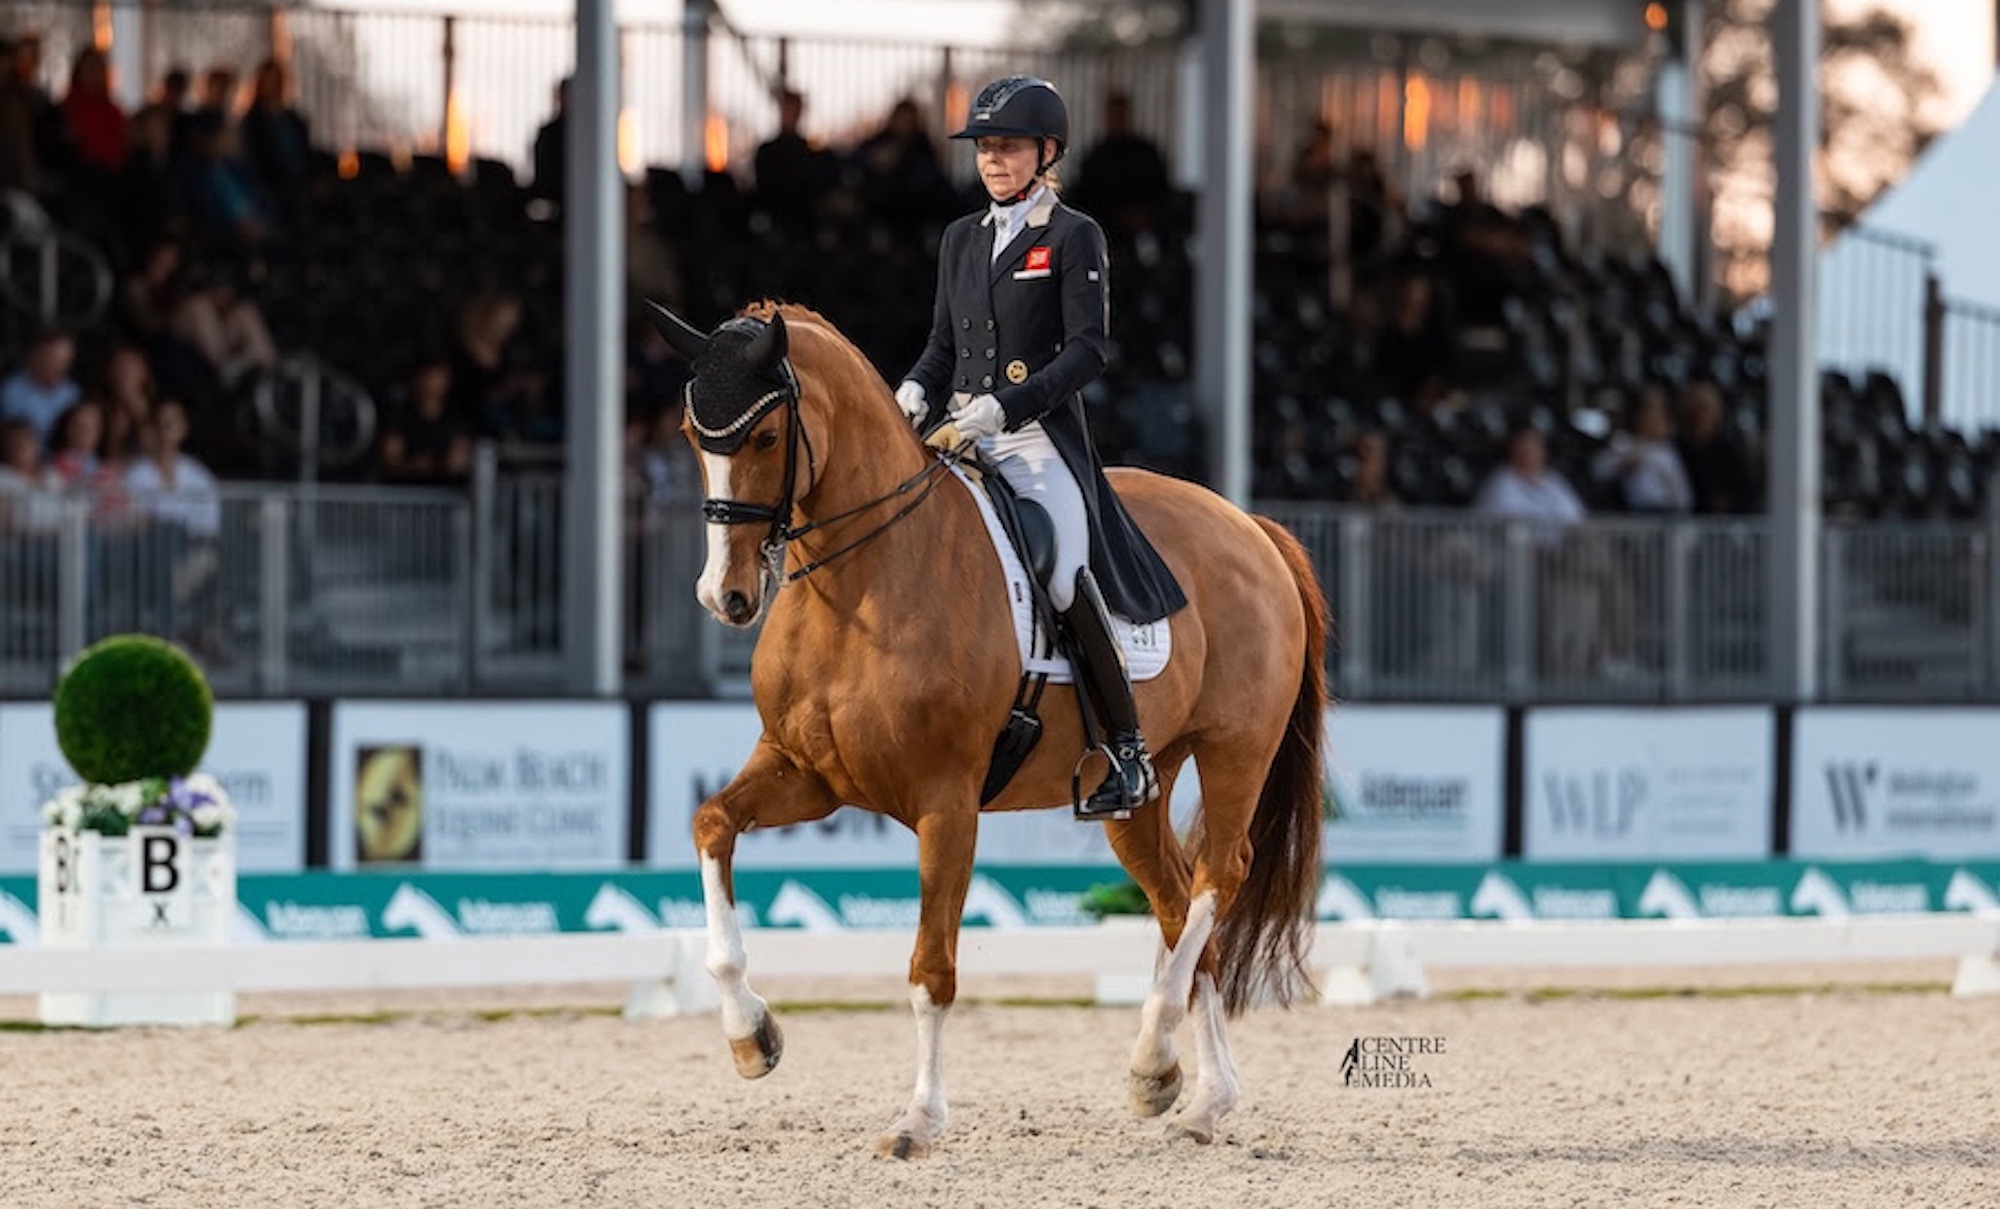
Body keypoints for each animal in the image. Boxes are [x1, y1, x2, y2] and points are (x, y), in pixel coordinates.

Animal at [650, 299, 1327, 1157]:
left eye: (767, 437)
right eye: (690, 433)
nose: (725, 596)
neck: (863, 580)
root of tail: (1252, 526)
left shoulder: (947, 804)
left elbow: (931, 966)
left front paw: (917, 1119)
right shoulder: (807, 774)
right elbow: (711, 824)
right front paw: (752, 1036)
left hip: (1236, 749)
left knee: (1219, 876)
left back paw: (1151, 1059)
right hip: (1139, 789)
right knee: (1180, 905)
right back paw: (1197, 1095)